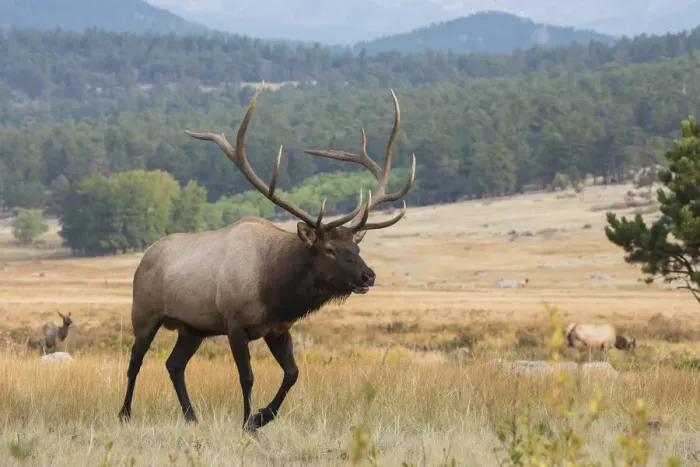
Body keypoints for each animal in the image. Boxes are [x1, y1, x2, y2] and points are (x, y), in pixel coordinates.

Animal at [117, 85, 416, 433]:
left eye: (355, 249)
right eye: (329, 250)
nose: (369, 276)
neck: (275, 291)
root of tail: (145, 257)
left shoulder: (277, 328)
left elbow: (293, 373)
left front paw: (262, 416)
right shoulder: (234, 323)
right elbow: (247, 377)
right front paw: (248, 421)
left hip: (193, 328)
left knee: (174, 364)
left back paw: (191, 416)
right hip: (144, 312)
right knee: (135, 361)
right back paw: (124, 413)